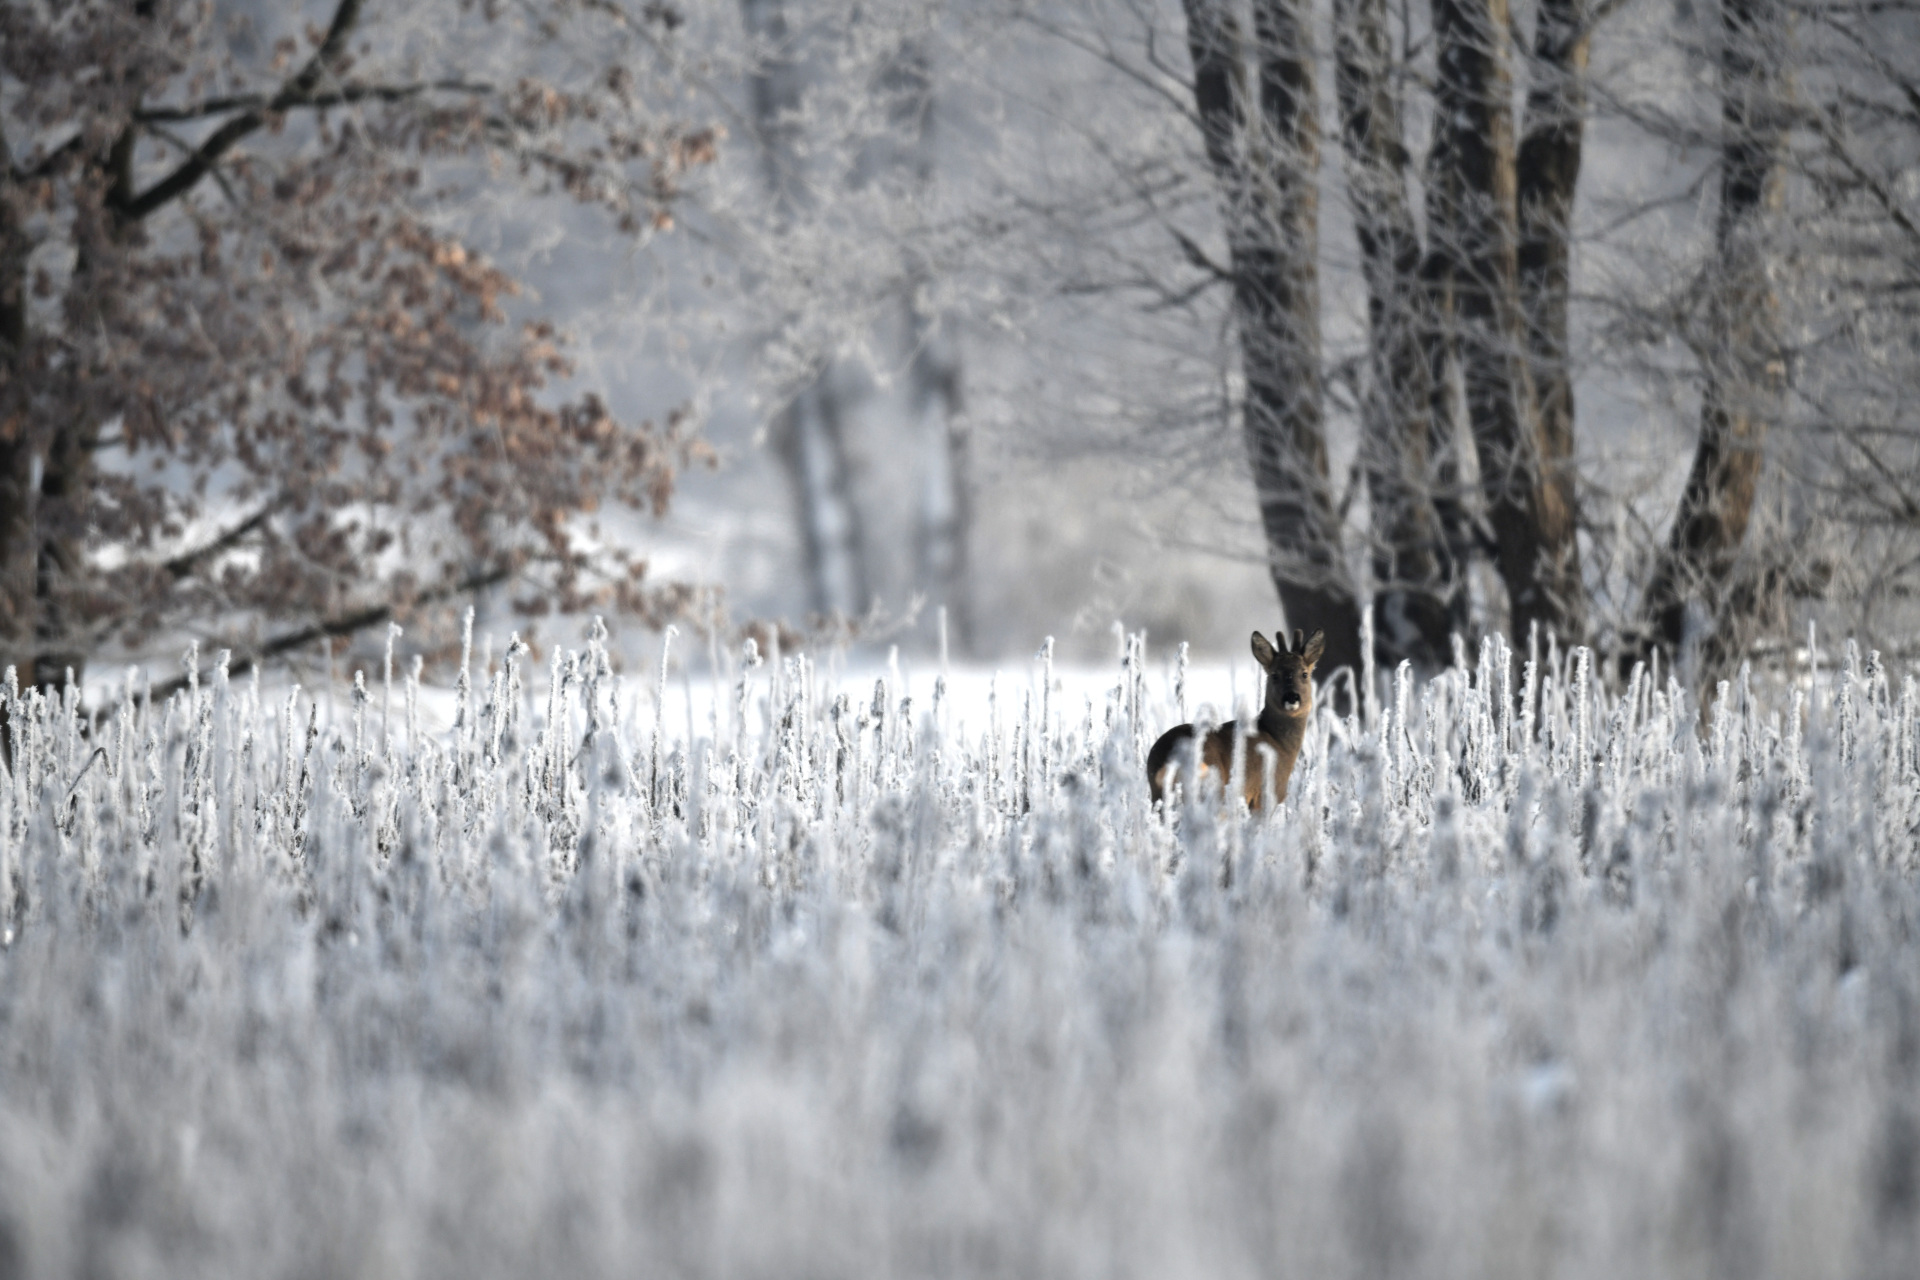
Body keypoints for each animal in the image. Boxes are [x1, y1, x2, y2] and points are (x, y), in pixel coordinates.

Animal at [1146, 628, 1324, 810]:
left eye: (1304, 674)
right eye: (1274, 675)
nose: (1292, 697)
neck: (1279, 743)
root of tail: (1171, 758)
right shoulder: (1266, 796)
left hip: (1158, 795)